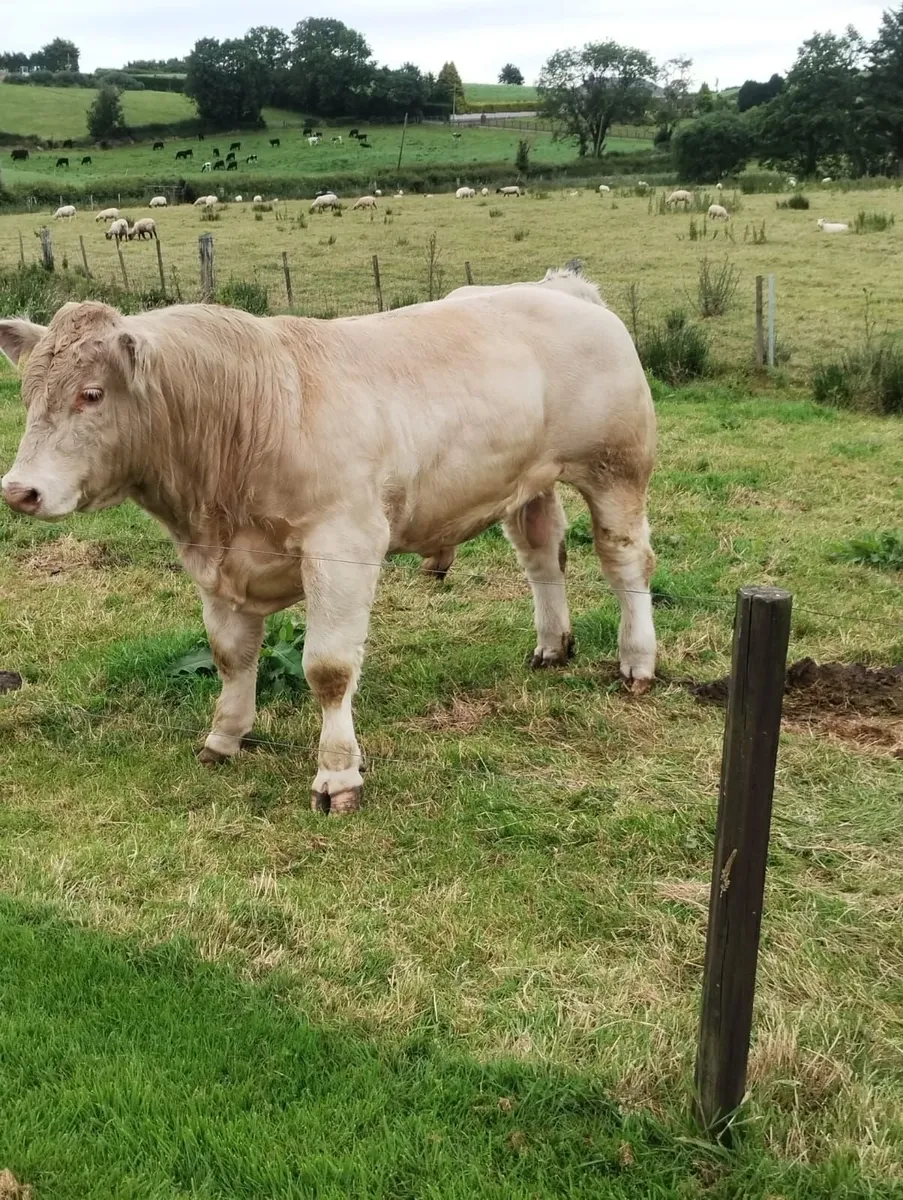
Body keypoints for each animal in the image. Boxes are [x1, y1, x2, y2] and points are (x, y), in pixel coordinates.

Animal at [0, 280, 657, 816]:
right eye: (28, 394)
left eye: (91, 394)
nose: (18, 490)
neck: (254, 412)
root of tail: (563, 287)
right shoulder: (214, 562)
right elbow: (231, 656)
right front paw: (224, 738)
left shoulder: (343, 546)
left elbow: (329, 669)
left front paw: (337, 775)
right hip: (530, 483)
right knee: (543, 556)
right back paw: (552, 646)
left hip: (616, 469)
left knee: (626, 561)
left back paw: (637, 663)